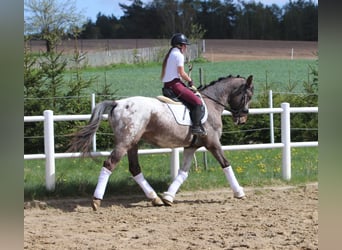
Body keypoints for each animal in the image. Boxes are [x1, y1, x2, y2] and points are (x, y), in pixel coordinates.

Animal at [67, 74, 254, 211]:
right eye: (248, 96)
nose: (243, 119)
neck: (211, 103)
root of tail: (118, 103)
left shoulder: (191, 147)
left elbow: (183, 173)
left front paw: (168, 197)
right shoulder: (213, 143)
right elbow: (226, 164)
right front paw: (239, 192)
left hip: (133, 143)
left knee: (135, 168)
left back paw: (155, 198)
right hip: (124, 143)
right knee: (109, 164)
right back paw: (96, 200)